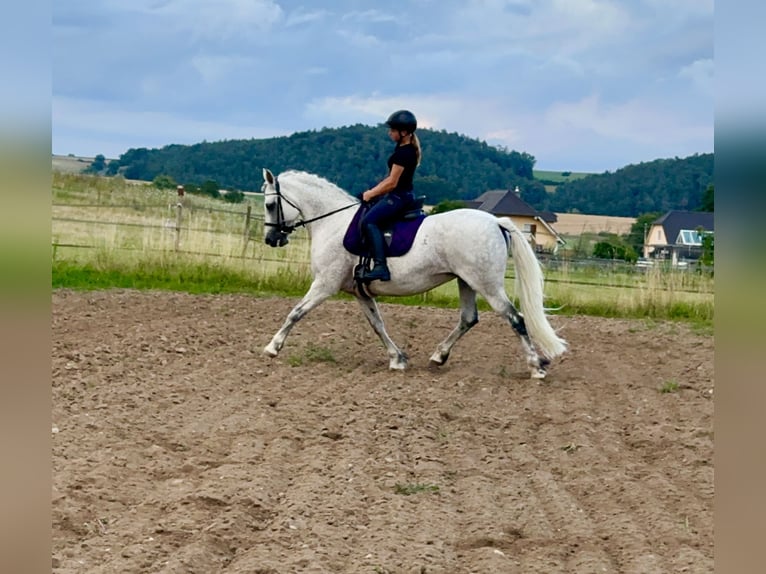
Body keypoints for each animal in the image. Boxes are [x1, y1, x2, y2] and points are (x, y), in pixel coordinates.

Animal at [260, 169, 568, 380]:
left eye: (270, 205)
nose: (272, 239)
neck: (333, 221)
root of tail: (496, 221)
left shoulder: (325, 284)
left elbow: (296, 312)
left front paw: (272, 347)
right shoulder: (360, 292)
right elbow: (377, 324)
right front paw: (397, 359)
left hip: (487, 284)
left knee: (515, 319)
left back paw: (536, 367)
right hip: (466, 281)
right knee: (469, 319)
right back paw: (438, 356)